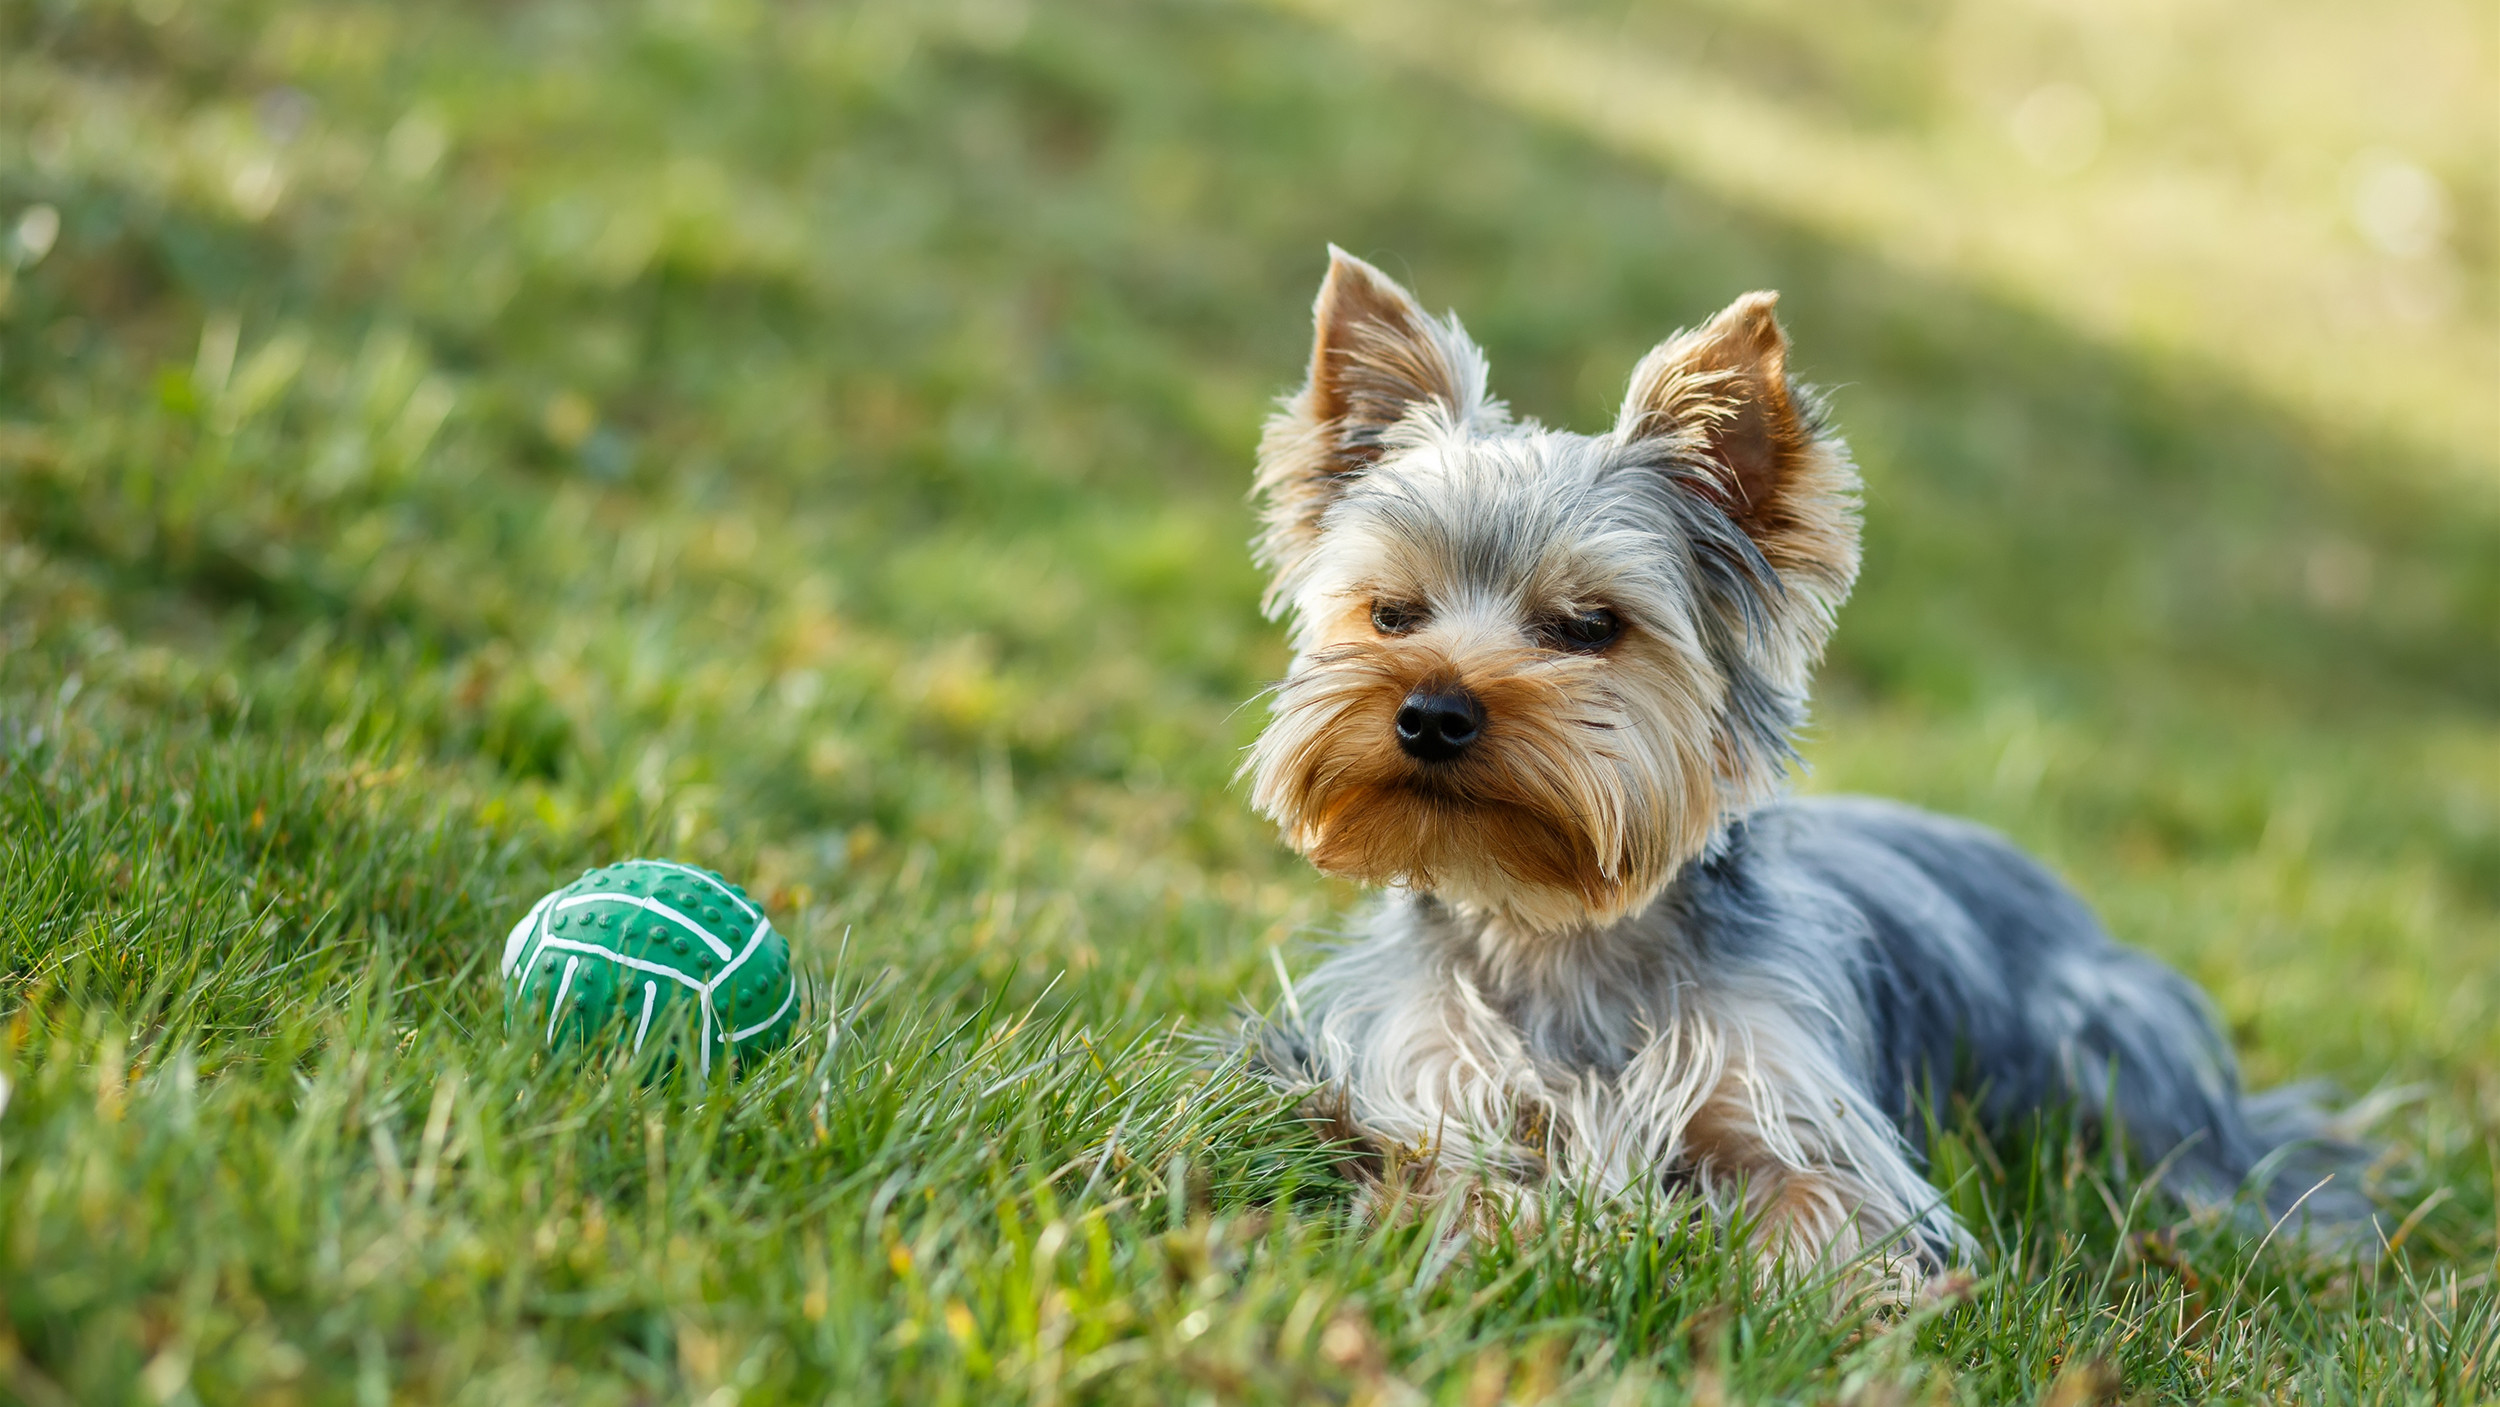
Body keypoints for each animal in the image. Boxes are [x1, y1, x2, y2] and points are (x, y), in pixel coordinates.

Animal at [1245, 249, 2360, 1279]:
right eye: (1393, 614)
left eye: (1588, 626)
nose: (1432, 714)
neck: (1554, 927)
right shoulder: (1416, 1073)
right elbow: (1443, 1172)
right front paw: (1527, 1235)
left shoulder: (1804, 1111)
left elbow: (1818, 1209)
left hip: (2107, 1040)